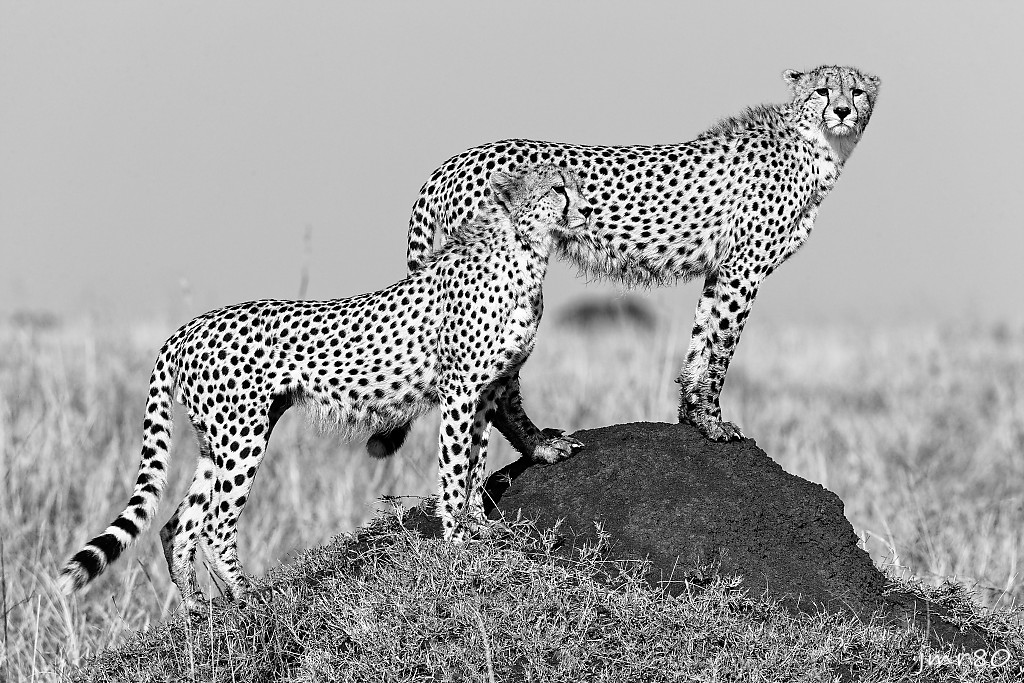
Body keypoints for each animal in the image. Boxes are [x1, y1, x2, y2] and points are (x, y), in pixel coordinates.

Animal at [58, 165, 591, 610]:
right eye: (557, 188)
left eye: (578, 184)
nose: (586, 210)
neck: (524, 251)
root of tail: (186, 328)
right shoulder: (461, 391)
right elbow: (456, 469)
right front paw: (459, 539)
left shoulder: (487, 389)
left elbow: (484, 453)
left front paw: (499, 501)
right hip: (242, 436)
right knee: (213, 524)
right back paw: (249, 596)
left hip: (217, 440)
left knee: (177, 524)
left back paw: (197, 608)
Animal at [401, 65, 880, 447]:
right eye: (823, 91)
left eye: (857, 91)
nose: (842, 111)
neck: (817, 147)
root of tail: (453, 161)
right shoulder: (744, 270)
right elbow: (722, 350)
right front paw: (714, 423)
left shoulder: (720, 270)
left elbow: (700, 341)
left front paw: (692, 415)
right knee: (492, 388)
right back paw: (539, 446)